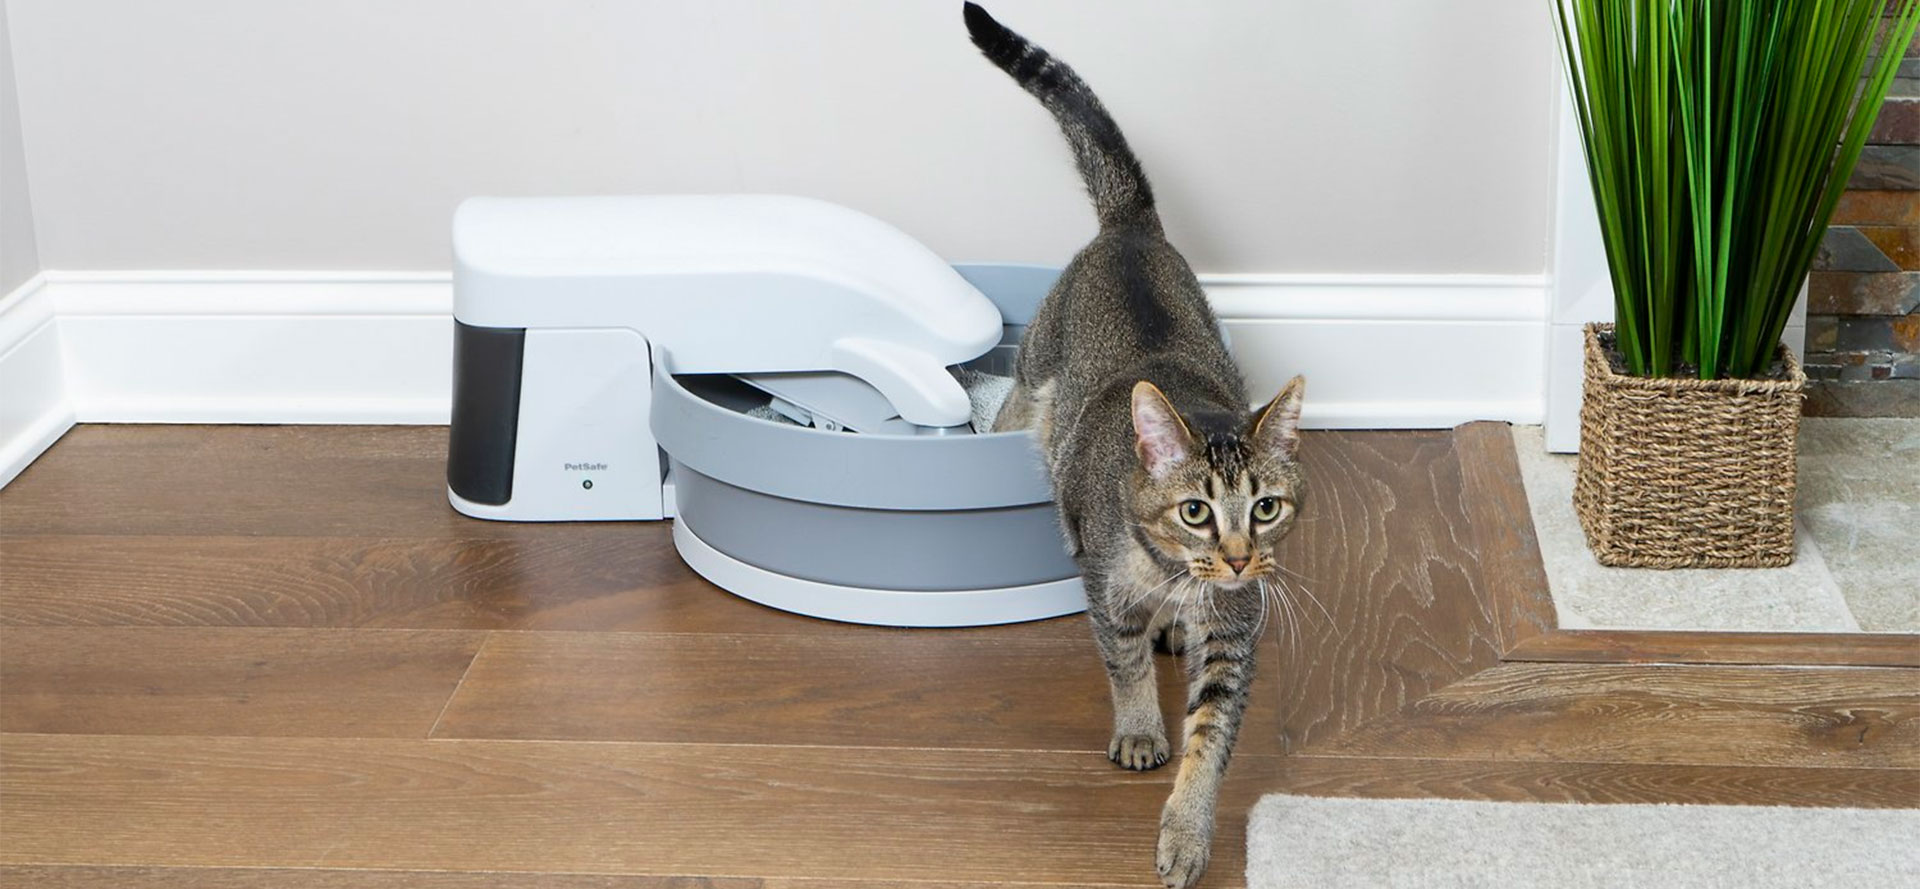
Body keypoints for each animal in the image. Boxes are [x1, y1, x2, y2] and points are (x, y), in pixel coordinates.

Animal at [967, 6, 1313, 889]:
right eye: (1195, 510)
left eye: (1266, 507)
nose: (1237, 556)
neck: (1176, 573)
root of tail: (1129, 228)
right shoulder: (1106, 591)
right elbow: (1122, 664)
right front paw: (1138, 728)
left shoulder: (1235, 630)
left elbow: (1212, 737)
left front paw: (1187, 830)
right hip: (1039, 370)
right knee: (1016, 405)